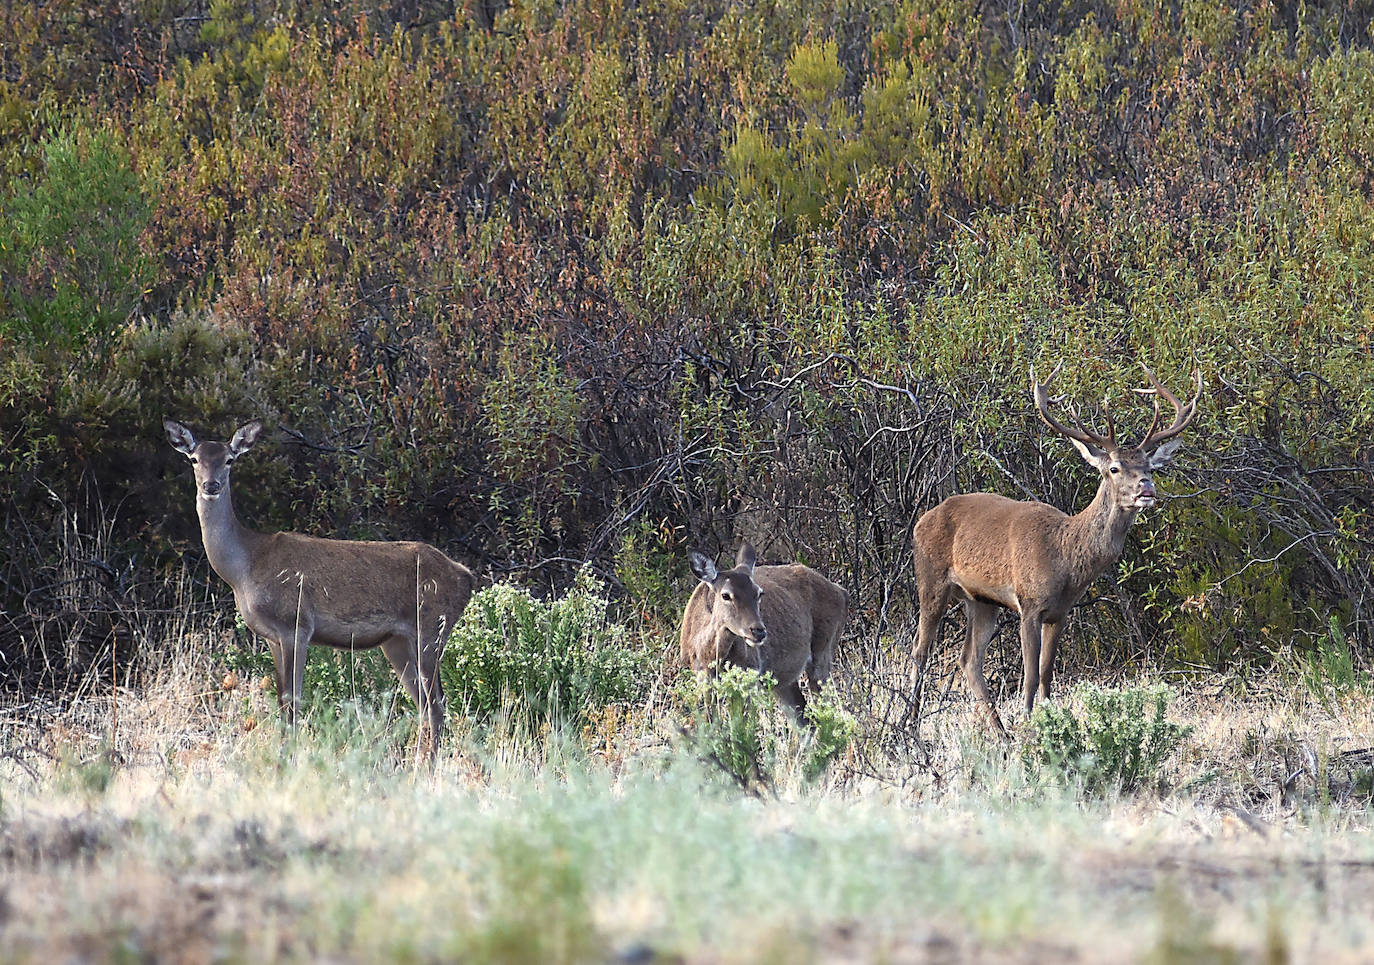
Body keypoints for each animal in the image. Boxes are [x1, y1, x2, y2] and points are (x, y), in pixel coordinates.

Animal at [164, 420, 475, 758]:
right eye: (194, 459)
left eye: (229, 460)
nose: (211, 485)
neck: (244, 568)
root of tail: (466, 577)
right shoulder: (271, 637)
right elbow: (282, 700)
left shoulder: (296, 624)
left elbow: (293, 701)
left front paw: (288, 757)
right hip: (397, 642)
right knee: (423, 704)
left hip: (431, 629)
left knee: (437, 704)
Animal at [676, 541, 846, 720]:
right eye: (725, 595)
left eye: (759, 593)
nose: (758, 631)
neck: (706, 654)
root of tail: (842, 592)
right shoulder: (702, 676)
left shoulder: (750, 671)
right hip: (783, 680)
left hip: (824, 653)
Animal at [912, 365, 1203, 736]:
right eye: (1114, 468)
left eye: (1150, 467)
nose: (1146, 487)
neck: (1065, 560)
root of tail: (922, 520)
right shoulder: (1029, 604)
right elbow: (1030, 677)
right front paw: (1029, 728)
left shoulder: (1060, 612)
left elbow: (1048, 675)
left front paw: (1049, 725)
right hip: (930, 578)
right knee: (920, 651)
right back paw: (909, 726)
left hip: (982, 599)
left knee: (969, 660)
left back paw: (999, 733)